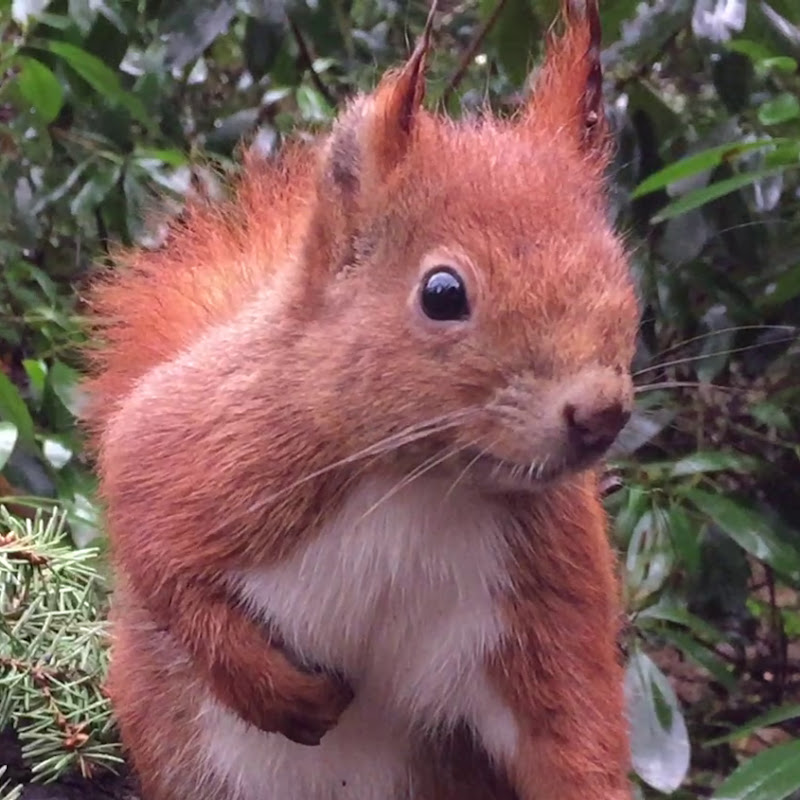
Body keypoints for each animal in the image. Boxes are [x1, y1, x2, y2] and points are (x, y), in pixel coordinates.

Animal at [82, 0, 639, 798]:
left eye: (619, 267)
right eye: (442, 293)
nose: (600, 413)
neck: (420, 482)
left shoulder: (545, 591)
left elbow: (570, 728)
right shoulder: (205, 443)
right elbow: (155, 548)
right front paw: (280, 694)